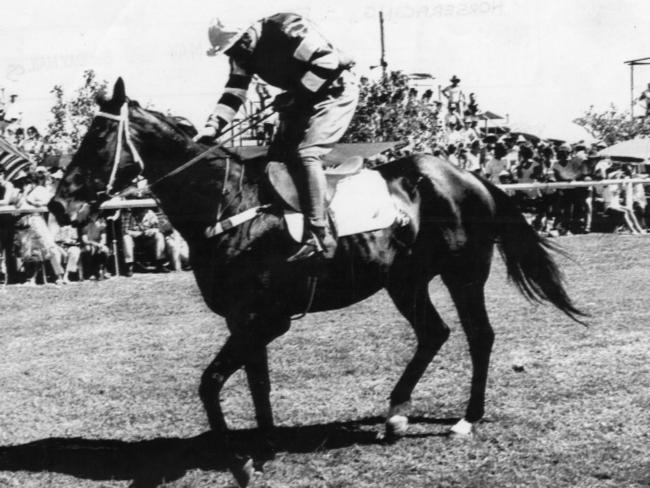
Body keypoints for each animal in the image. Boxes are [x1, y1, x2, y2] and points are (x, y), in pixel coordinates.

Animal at [46, 79, 584, 484]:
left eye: (98, 139)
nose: (58, 206)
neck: (230, 206)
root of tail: (467, 177)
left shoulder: (265, 319)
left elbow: (211, 382)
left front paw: (239, 462)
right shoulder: (246, 322)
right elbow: (257, 384)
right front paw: (264, 448)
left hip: (463, 276)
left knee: (479, 335)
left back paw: (467, 419)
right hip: (405, 282)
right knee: (435, 333)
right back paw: (395, 414)